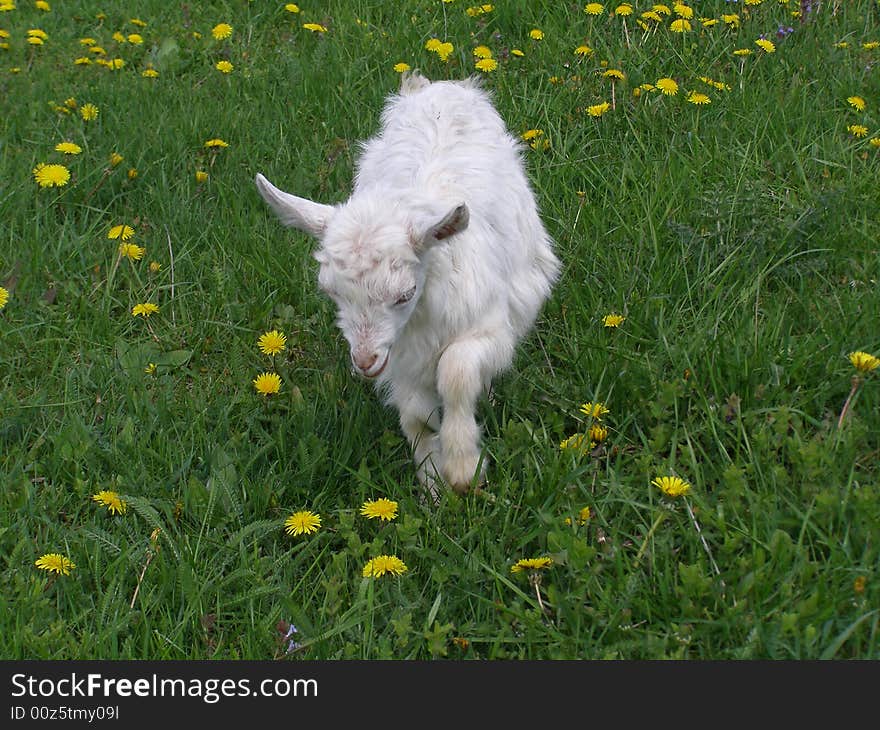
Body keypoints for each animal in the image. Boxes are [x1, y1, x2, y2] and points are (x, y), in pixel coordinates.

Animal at [256, 71, 556, 494]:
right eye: (331, 292)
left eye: (405, 294)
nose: (364, 362)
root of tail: (438, 86)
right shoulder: (399, 355)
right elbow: (416, 414)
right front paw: (431, 478)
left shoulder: (491, 330)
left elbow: (457, 373)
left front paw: (462, 468)